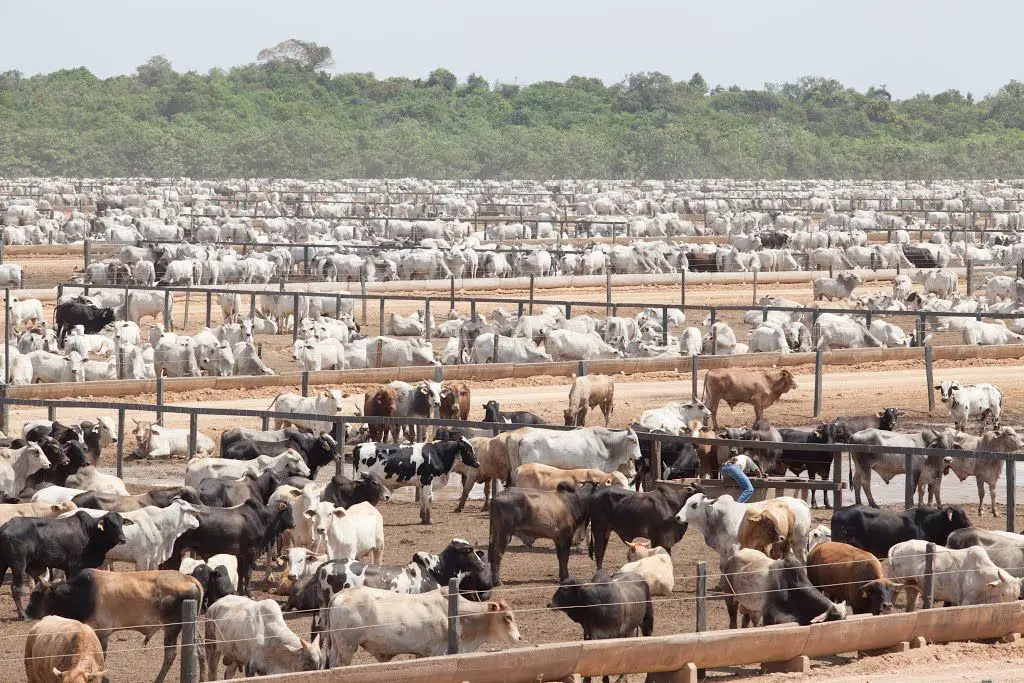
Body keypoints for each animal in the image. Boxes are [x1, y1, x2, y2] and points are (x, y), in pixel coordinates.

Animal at [0, 511, 130, 618]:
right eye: (111, 524)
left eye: (121, 523)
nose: (123, 539)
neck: (90, 532)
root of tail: (5, 527)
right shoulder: (74, 566)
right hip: (19, 565)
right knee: (15, 588)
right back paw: (22, 614)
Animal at [25, 569, 201, 683]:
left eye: (36, 594)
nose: (26, 613)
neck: (80, 594)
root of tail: (188, 578)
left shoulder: (101, 633)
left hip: (172, 627)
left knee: (170, 655)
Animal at [161, 499, 294, 593]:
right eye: (289, 510)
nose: (293, 524)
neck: (262, 519)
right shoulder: (251, 553)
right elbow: (248, 574)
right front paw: (249, 593)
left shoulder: (241, 555)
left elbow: (241, 573)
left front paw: (240, 591)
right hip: (174, 552)